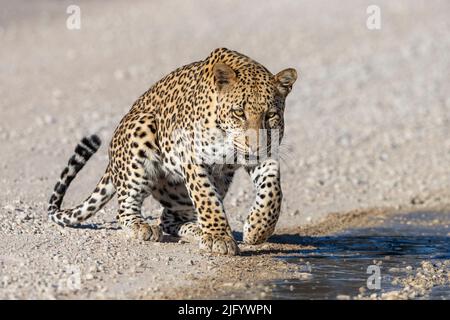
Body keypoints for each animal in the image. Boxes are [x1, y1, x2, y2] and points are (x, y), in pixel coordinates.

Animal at [48, 47, 296, 256]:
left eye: (270, 115)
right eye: (239, 113)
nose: (255, 146)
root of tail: (112, 160)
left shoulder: (266, 155)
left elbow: (273, 192)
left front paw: (256, 229)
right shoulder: (193, 159)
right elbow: (207, 199)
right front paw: (219, 237)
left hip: (197, 186)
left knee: (168, 219)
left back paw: (196, 230)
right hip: (141, 130)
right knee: (126, 209)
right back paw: (142, 226)